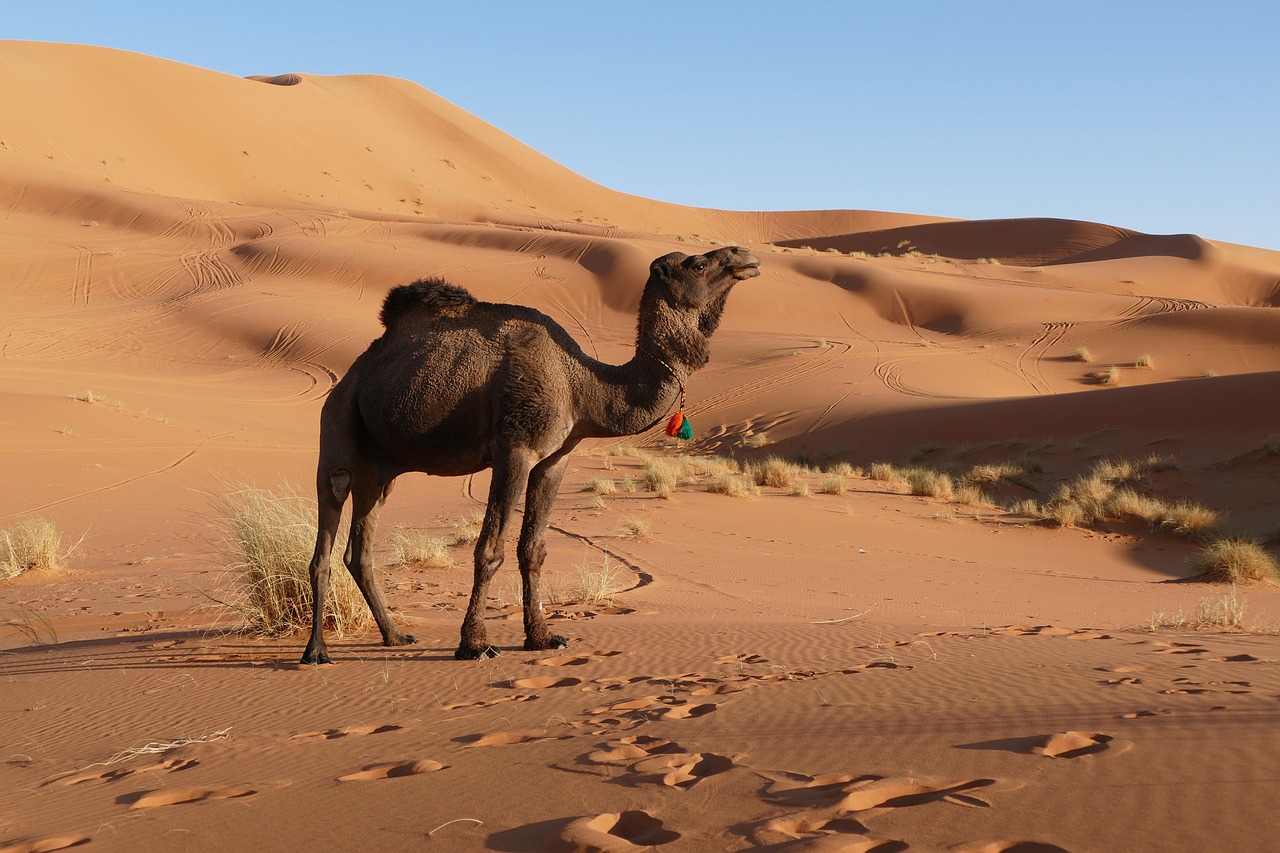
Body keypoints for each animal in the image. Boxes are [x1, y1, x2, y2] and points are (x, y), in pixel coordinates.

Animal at [301, 246, 761, 663]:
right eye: (698, 264)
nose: (745, 257)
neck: (582, 384)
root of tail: (352, 374)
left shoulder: (554, 459)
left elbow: (533, 549)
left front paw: (542, 637)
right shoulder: (515, 450)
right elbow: (491, 549)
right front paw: (474, 644)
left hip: (381, 468)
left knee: (359, 549)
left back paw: (394, 636)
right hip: (339, 424)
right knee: (328, 523)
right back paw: (316, 651)